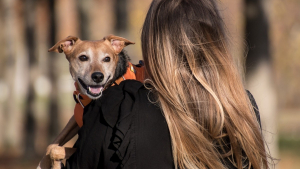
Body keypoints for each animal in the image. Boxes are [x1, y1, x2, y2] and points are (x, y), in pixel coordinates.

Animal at [36, 34, 137, 169]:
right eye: (83, 57)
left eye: (107, 59)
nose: (98, 76)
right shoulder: (75, 118)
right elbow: (52, 145)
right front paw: (43, 164)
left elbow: (56, 150)